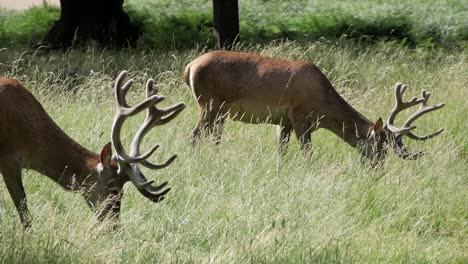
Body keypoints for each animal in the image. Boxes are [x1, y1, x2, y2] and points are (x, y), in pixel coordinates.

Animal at [185, 50, 444, 164]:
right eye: (380, 147)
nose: (377, 169)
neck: (323, 109)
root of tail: (190, 67)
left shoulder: (284, 121)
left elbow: (281, 150)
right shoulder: (299, 116)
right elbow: (308, 152)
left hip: (219, 112)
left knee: (213, 137)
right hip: (208, 103)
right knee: (193, 135)